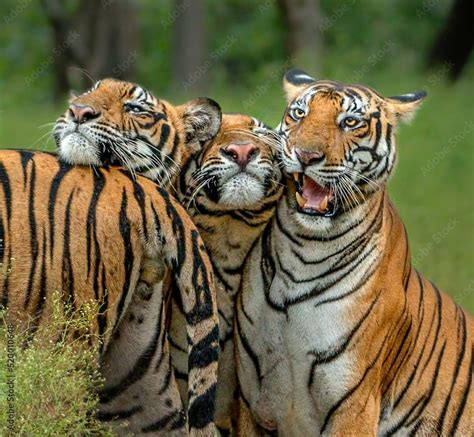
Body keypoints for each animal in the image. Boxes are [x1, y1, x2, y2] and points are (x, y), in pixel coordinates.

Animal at [235, 70, 472, 434]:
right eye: (300, 114)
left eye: (350, 122)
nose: (305, 155)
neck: (303, 250)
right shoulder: (251, 403)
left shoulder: (354, 405)